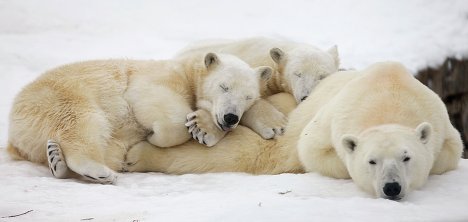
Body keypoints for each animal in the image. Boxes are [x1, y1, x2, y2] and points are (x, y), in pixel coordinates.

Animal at [6, 52, 270, 184]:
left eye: (248, 96)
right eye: (224, 86)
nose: (230, 117)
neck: (188, 70)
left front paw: (203, 130)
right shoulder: (159, 77)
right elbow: (149, 98)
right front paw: (155, 138)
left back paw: (57, 159)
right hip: (58, 96)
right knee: (83, 122)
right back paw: (99, 171)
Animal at [125, 61, 464, 199]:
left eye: (407, 158)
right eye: (372, 161)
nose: (391, 187)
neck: (388, 94)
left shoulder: (439, 122)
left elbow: (449, 152)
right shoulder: (330, 119)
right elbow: (310, 149)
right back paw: (139, 155)